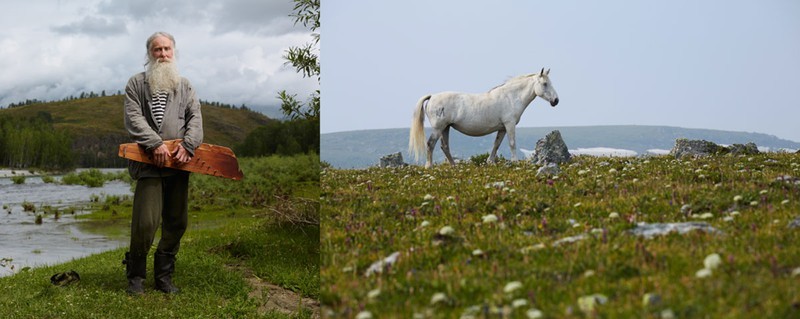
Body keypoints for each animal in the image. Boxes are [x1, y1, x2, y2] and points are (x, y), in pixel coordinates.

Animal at [410, 69, 560, 169]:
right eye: (545, 83)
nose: (556, 101)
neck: (511, 97)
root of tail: (432, 96)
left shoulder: (502, 128)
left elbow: (496, 144)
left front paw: (490, 162)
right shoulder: (509, 125)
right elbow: (512, 143)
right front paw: (515, 162)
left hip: (446, 128)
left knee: (444, 146)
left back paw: (454, 166)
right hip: (438, 128)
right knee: (430, 144)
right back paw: (429, 166)